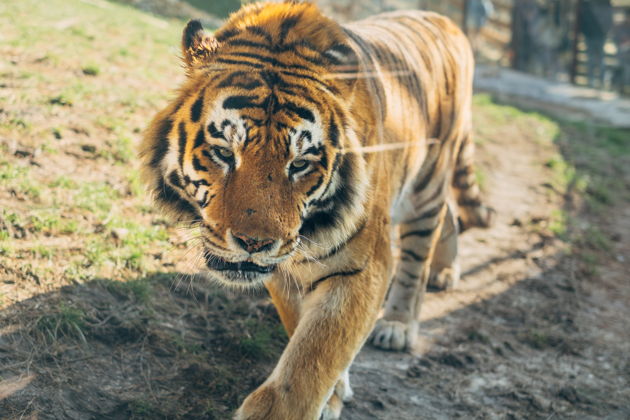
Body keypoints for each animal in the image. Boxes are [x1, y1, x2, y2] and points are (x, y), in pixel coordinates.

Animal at [138, 1, 494, 418]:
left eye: (300, 163)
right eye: (224, 153)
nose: (254, 244)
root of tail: (445, 22)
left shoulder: (363, 267)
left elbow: (313, 357)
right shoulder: (281, 270)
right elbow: (303, 330)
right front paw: (336, 391)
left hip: (429, 181)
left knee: (420, 250)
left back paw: (400, 323)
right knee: (450, 217)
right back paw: (444, 272)